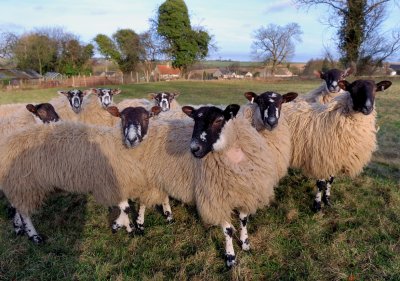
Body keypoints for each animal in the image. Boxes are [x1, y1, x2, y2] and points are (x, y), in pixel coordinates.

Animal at [0, 105, 166, 243]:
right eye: (122, 117)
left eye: (146, 117)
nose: (132, 139)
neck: (118, 145)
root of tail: (8, 142)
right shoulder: (110, 183)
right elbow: (125, 208)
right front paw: (118, 226)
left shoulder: (125, 182)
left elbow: (131, 207)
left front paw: (130, 227)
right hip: (25, 183)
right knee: (24, 211)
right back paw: (34, 236)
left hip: (19, 183)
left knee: (17, 206)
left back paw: (18, 228)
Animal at [282, 79, 392, 210]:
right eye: (352, 90)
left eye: (375, 90)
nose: (367, 108)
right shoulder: (322, 157)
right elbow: (321, 184)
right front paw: (317, 206)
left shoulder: (335, 157)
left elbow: (331, 181)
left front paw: (327, 200)